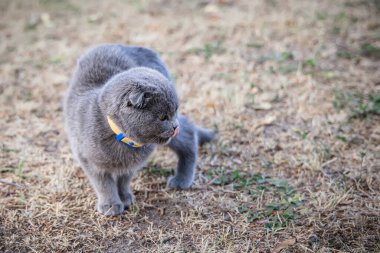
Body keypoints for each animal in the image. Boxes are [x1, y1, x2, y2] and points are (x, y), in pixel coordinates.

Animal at [63, 44, 215, 214]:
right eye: (163, 117)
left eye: (173, 111)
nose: (174, 126)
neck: (123, 139)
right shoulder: (89, 159)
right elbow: (104, 184)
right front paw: (111, 204)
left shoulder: (132, 164)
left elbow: (124, 179)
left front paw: (123, 198)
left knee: (188, 133)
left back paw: (182, 179)